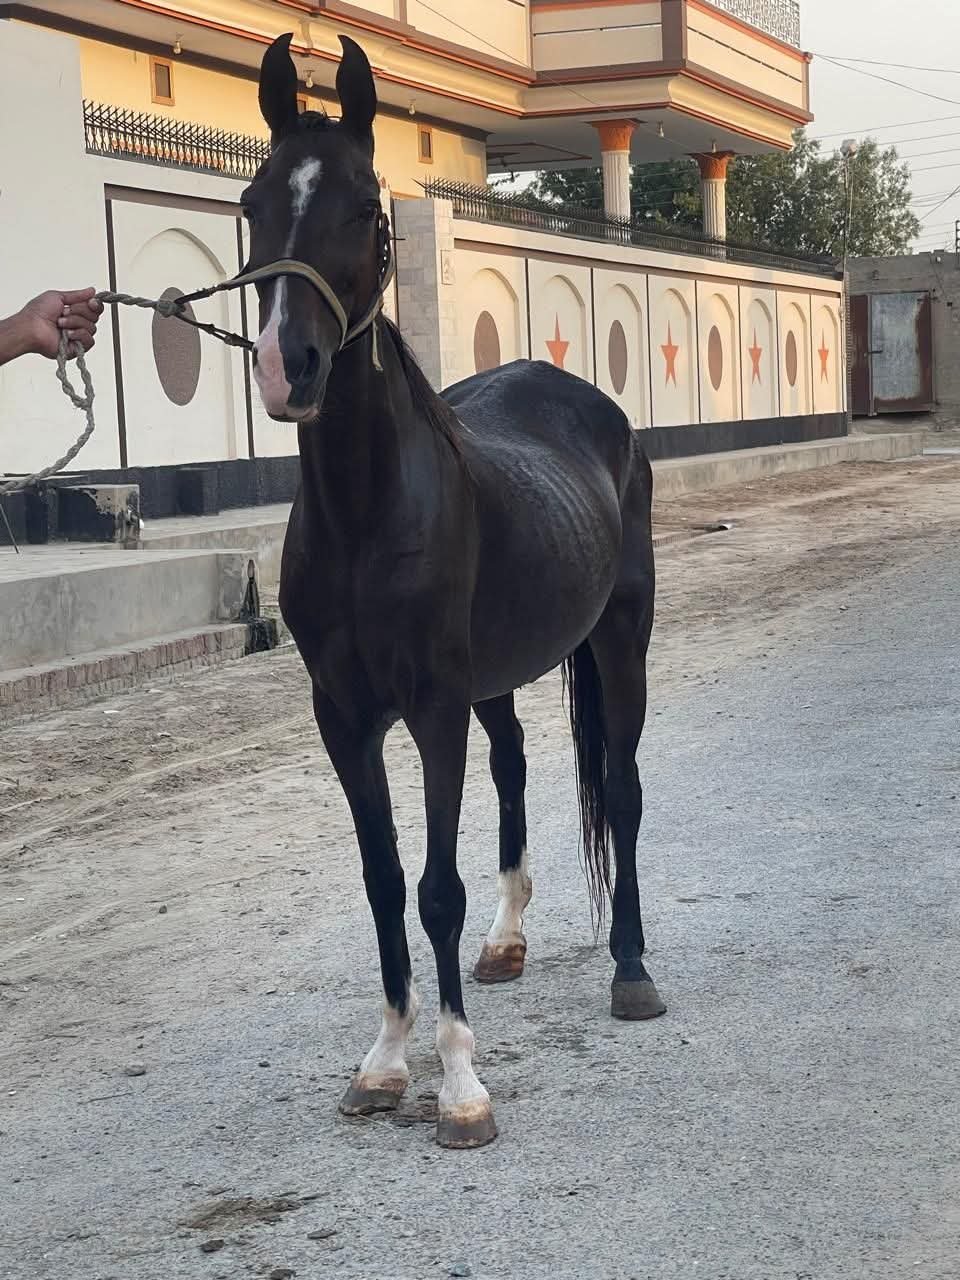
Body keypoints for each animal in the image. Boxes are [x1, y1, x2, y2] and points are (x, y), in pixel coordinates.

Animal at [244, 32, 664, 1149]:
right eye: (253, 202)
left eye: (369, 210)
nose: (288, 367)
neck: (366, 514)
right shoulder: (345, 716)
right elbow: (385, 879)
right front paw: (388, 1062)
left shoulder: (431, 709)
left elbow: (435, 887)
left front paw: (461, 1082)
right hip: (500, 678)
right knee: (515, 765)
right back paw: (509, 940)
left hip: (621, 639)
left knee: (622, 788)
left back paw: (633, 971)